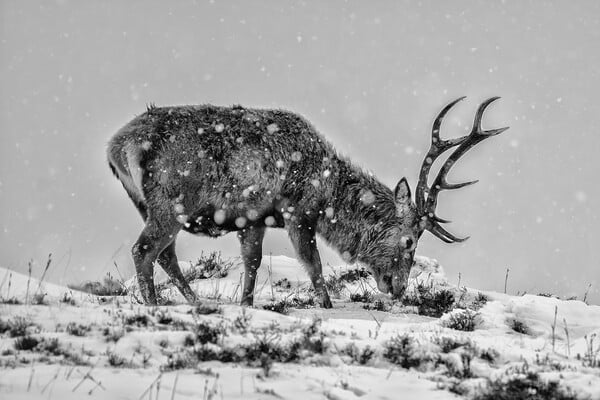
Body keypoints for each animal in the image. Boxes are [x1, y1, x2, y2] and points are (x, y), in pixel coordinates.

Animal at [106, 96, 506, 306]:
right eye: (409, 240)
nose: (398, 288)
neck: (329, 190)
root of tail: (117, 146)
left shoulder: (253, 217)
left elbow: (252, 262)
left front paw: (246, 304)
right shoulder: (298, 210)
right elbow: (313, 264)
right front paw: (326, 306)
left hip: (146, 203)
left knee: (165, 255)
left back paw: (193, 301)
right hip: (171, 201)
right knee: (144, 249)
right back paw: (154, 305)